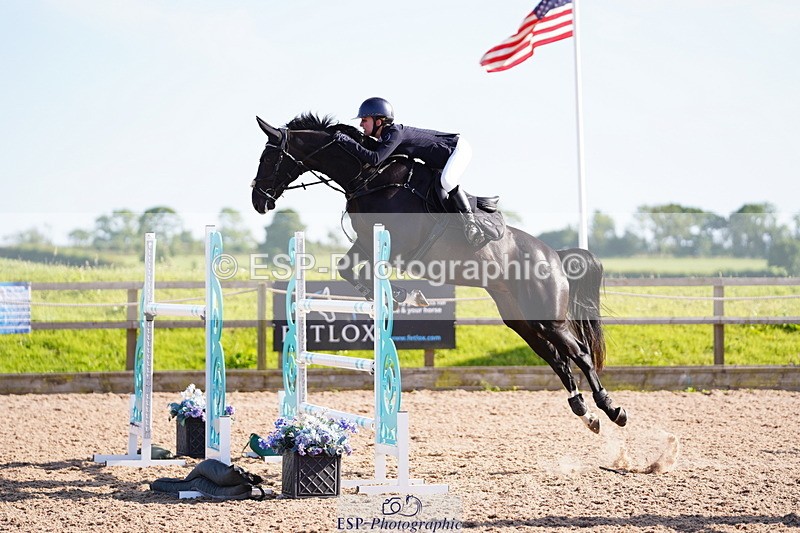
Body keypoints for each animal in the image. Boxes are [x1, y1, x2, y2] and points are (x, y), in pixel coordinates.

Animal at [250, 113, 627, 433]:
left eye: (268, 158)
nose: (259, 201)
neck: (369, 177)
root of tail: (554, 256)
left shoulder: (396, 244)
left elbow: (370, 271)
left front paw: (404, 295)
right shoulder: (364, 242)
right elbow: (347, 269)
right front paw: (401, 296)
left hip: (549, 316)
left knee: (579, 353)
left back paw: (611, 409)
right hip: (521, 319)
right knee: (556, 357)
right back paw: (584, 412)